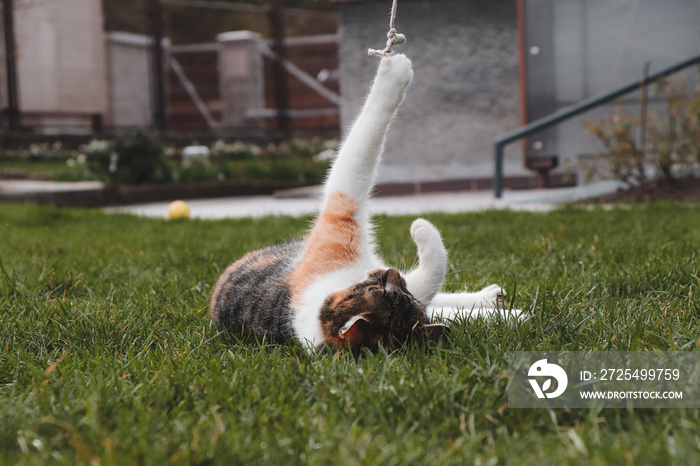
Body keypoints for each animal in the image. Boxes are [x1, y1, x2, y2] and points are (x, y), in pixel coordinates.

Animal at [209, 54, 520, 352]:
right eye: (377, 290)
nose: (389, 272)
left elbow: (428, 286)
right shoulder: (340, 218)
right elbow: (364, 140)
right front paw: (394, 72)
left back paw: (495, 300)